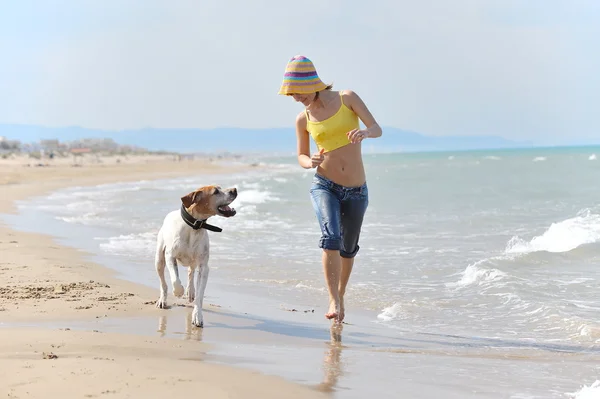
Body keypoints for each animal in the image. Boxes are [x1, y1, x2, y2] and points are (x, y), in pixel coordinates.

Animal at [155, 185, 237, 328]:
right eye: (216, 191)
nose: (235, 190)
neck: (194, 228)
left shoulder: (204, 267)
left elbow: (200, 295)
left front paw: (197, 315)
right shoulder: (170, 256)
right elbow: (175, 280)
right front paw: (178, 292)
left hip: (193, 261)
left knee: (191, 272)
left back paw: (190, 291)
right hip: (159, 259)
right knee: (163, 284)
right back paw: (163, 300)